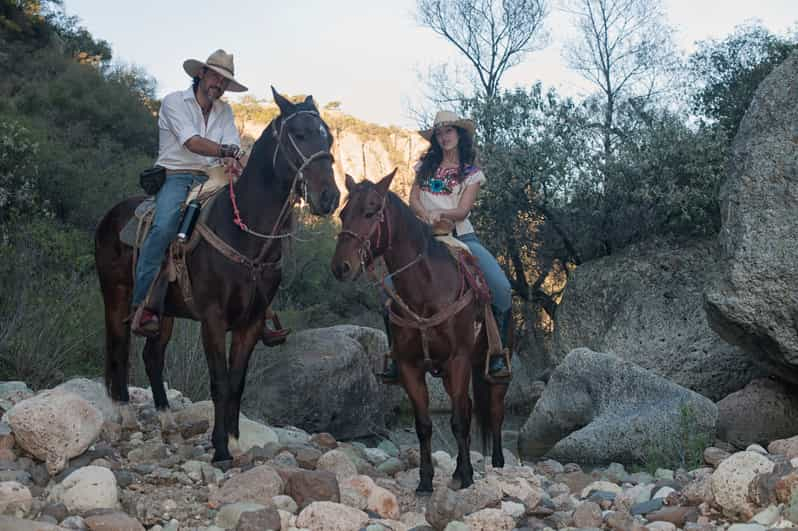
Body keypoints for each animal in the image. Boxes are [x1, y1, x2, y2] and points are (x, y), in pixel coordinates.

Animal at [95, 89, 340, 464]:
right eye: (298, 135)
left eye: (329, 138)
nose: (329, 197)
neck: (245, 234)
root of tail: (111, 215)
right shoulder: (212, 319)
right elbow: (220, 381)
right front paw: (221, 449)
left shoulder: (251, 322)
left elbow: (237, 382)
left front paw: (236, 443)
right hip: (116, 296)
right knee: (118, 349)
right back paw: (125, 415)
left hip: (164, 312)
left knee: (152, 357)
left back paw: (168, 424)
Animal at [332, 171, 512, 494]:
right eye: (342, 213)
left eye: (370, 212)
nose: (341, 267)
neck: (426, 290)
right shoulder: (409, 366)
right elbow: (425, 424)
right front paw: (427, 480)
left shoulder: (458, 359)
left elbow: (458, 421)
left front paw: (468, 477)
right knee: (468, 407)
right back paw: (456, 470)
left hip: (492, 369)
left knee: (494, 411)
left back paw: (497, 463)